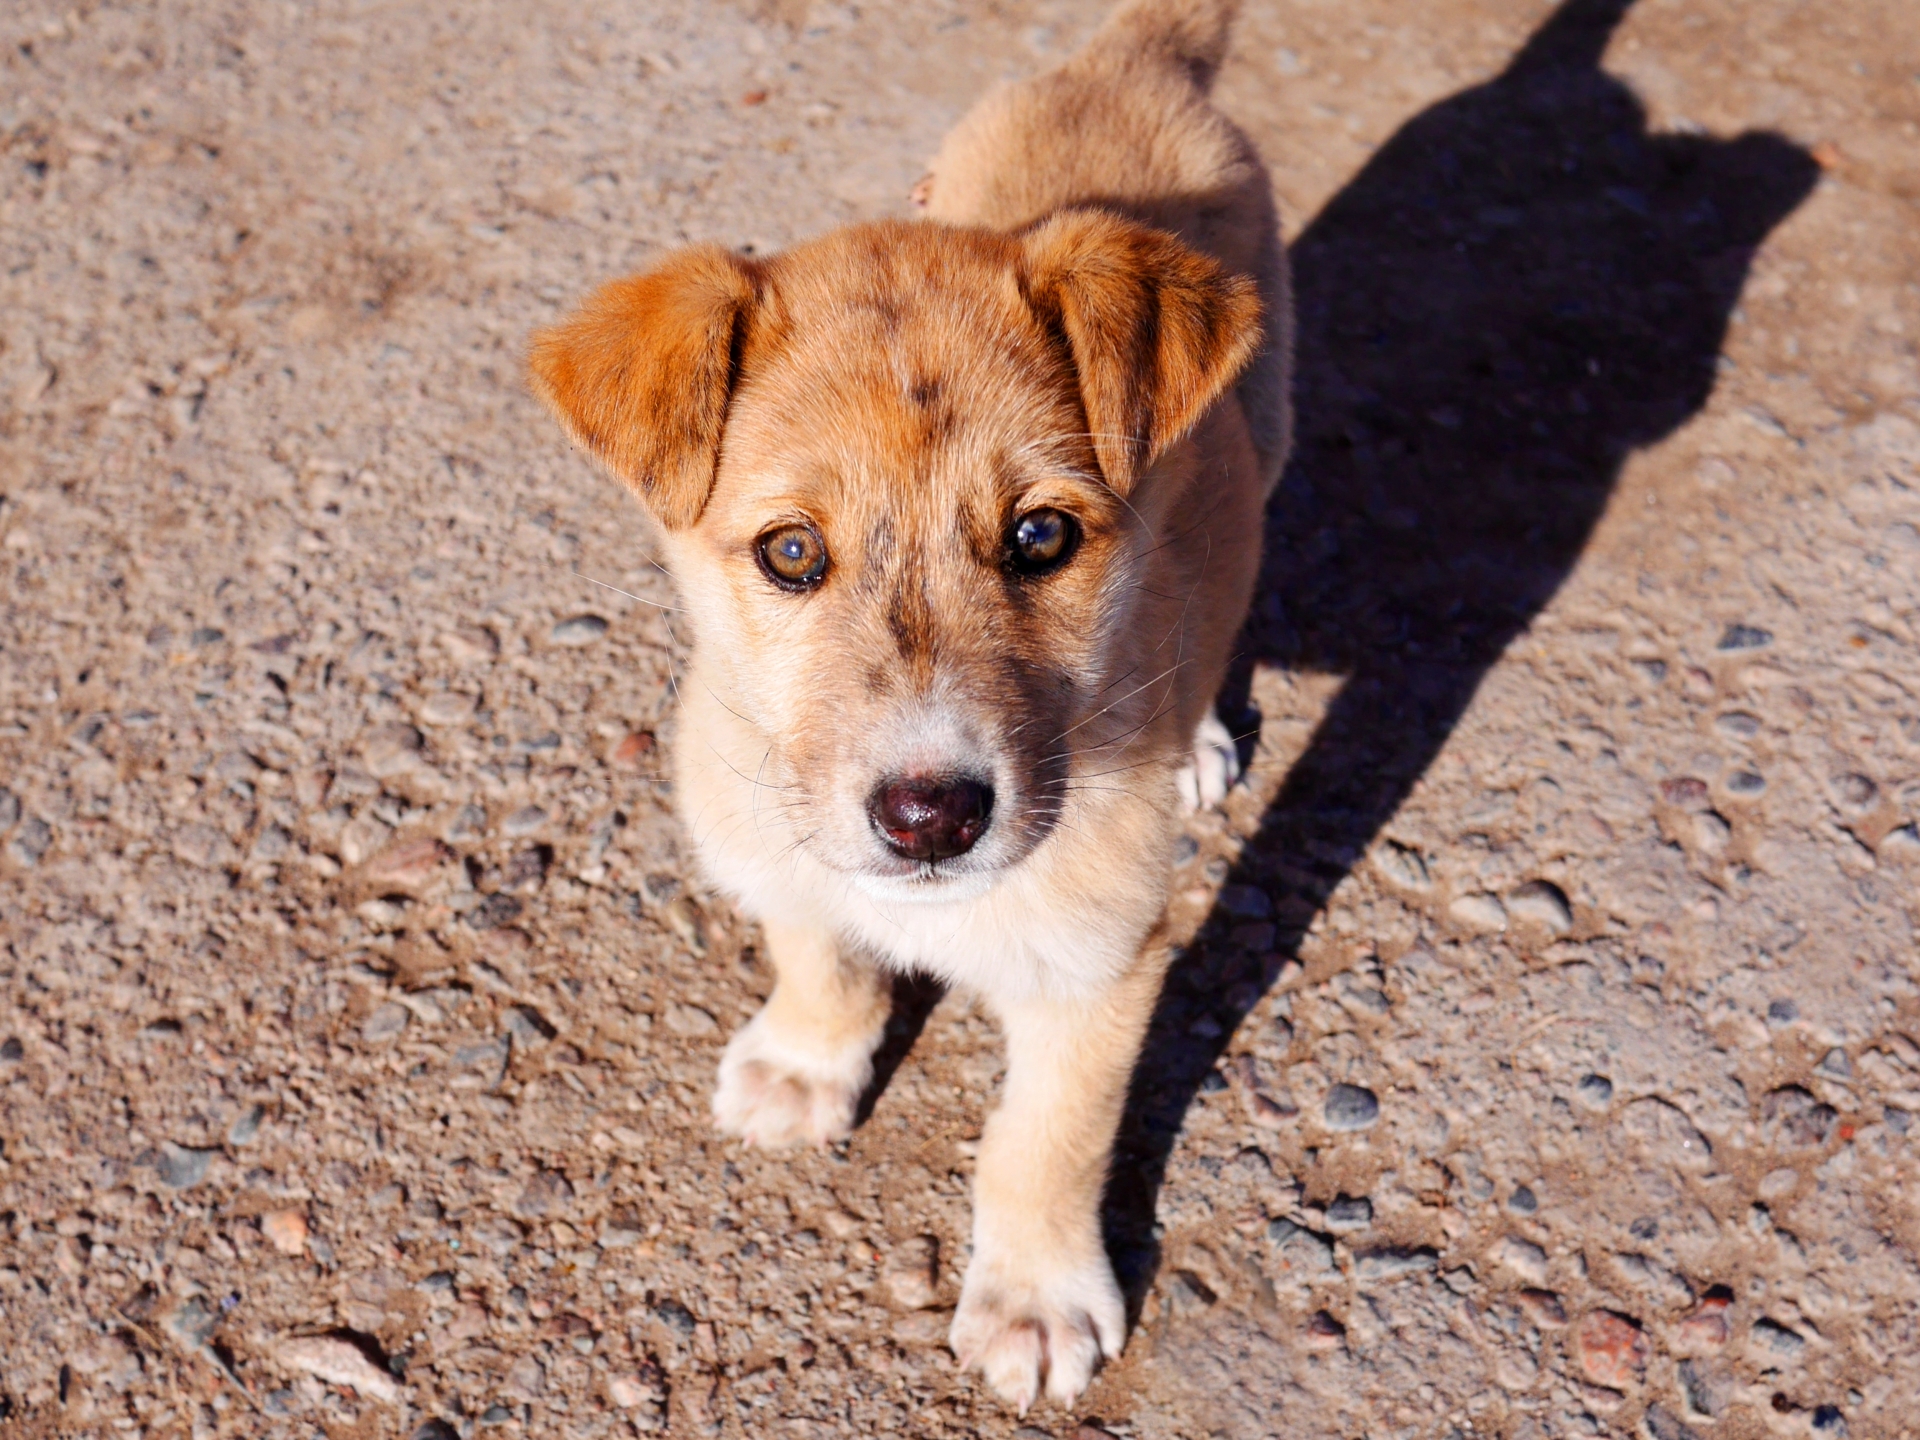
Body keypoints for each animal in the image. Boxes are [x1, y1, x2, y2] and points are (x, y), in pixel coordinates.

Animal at [529, 0, 1290, 1420]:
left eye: (1042, 536)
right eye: (790, 553)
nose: (931, 817)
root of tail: (1126, 57)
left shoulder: (1101, 964)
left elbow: (1045, 1137)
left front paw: (1036, 1296)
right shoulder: (778, 845)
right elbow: (817, 949)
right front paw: (807, 1063)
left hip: (1264, 438)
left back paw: (1205, 737)